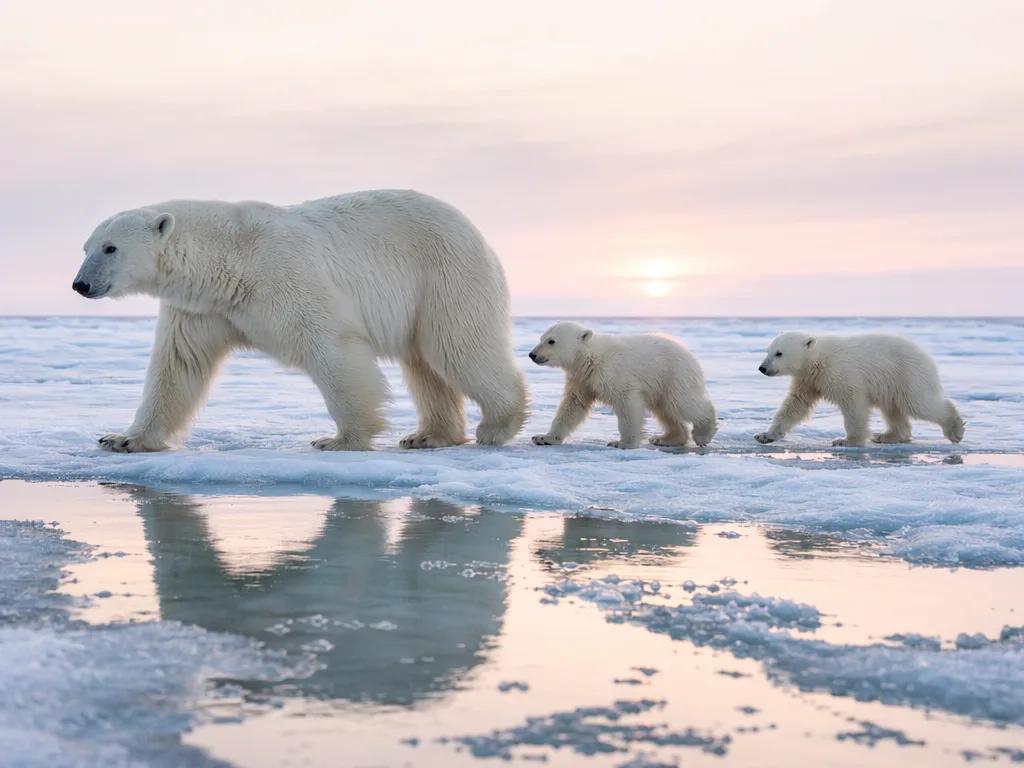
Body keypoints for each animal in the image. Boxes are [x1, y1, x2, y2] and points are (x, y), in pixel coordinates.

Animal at [72, 190, 527, 452]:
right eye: (86, 247)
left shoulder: (284, 275)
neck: (228, 258)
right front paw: (123, 438)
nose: (80, 284)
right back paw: (428, 435)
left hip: (443, 275)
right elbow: (177, 366)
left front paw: (341, 439)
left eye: (111, 248)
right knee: (425, 364)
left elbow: (331, 346)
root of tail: (476, 233)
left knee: (456, 346)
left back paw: (497, 425)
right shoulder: (202, 308)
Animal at [528, 322, 717, 449]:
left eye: (551, 341)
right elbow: (573, 406)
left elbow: (627, 404)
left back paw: (703, 435)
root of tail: (690, 355)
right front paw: (544, 438)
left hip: (674, 375)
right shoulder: (582, 379)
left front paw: (623, 443)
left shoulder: (613, 373)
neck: (590, 357)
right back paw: (664, 438)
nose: (532, 354)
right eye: (541, 338)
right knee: (665, 410)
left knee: (683, 402)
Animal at [754, 331, 965, 447]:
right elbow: (794, 405)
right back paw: (886, 436)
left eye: (779, 353)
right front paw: (765, 435)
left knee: (918, 403)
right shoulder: (809, 381)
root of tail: (927, 356)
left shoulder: (840, 373)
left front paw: (845, 441)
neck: (817, 359)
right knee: (893, 409)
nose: (762, 368)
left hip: (907, 374)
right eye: (768, 351)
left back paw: (955, 430)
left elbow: (853, 405)